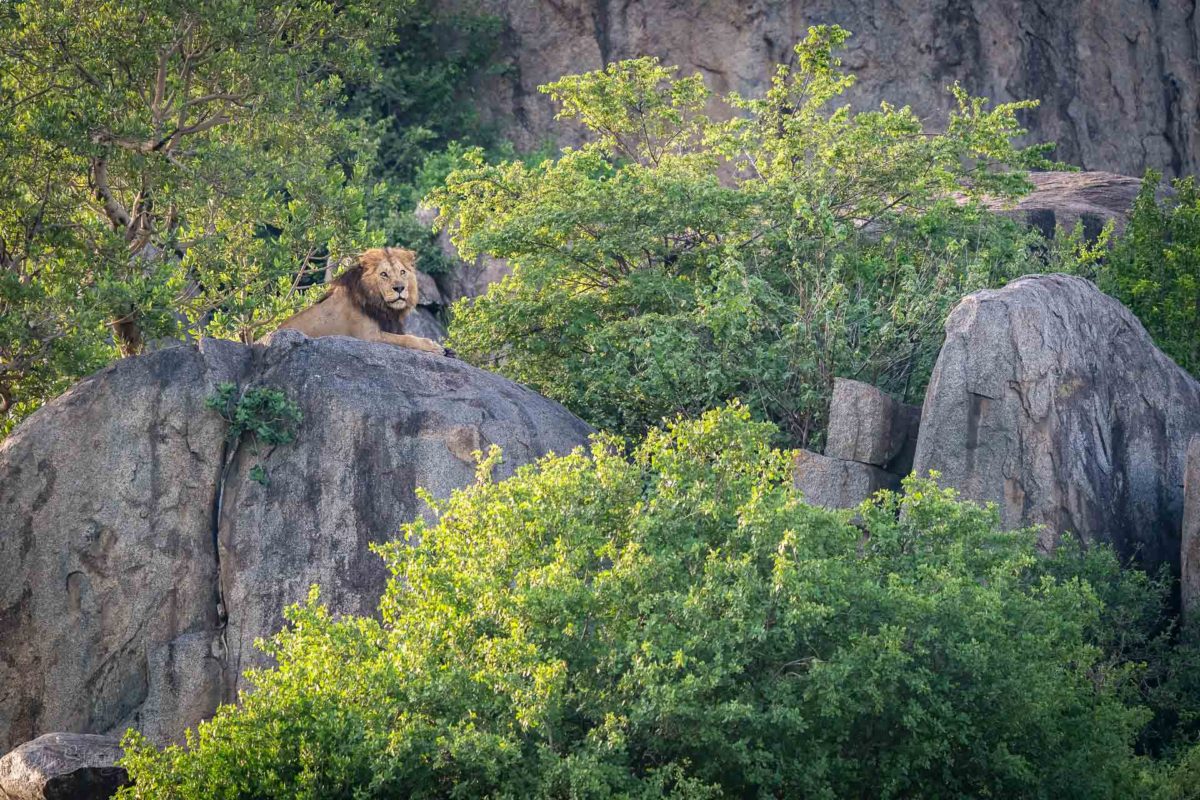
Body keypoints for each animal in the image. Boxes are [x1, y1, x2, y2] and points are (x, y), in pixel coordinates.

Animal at [278, 245, 448, 355]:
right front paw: (433, 346)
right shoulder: (368, 337)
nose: (400, 288)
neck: (384, 307)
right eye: (384, 274)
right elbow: (405, 339)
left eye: (402, 272)